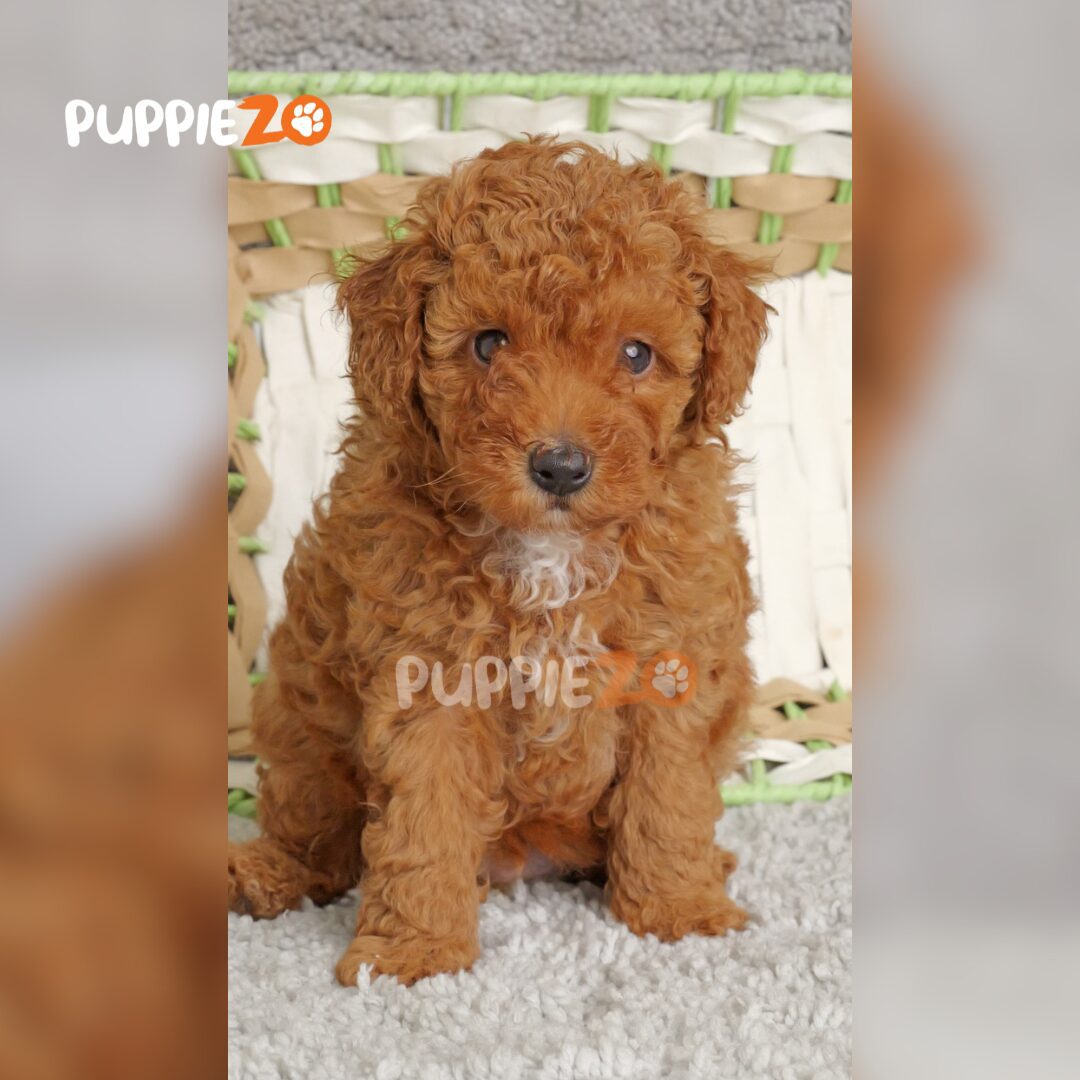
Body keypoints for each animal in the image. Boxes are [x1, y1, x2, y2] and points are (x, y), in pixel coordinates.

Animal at [227, 137, 770, 986]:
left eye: (637, 354)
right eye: (488, 343)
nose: (561, 467)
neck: (549, 552)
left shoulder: (671, 664)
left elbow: (666, 799)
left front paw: (677, 909)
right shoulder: (428, 674)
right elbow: (424, 816)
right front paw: (415, 949)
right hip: (302, 721)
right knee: (314, 825)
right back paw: (267, 873)